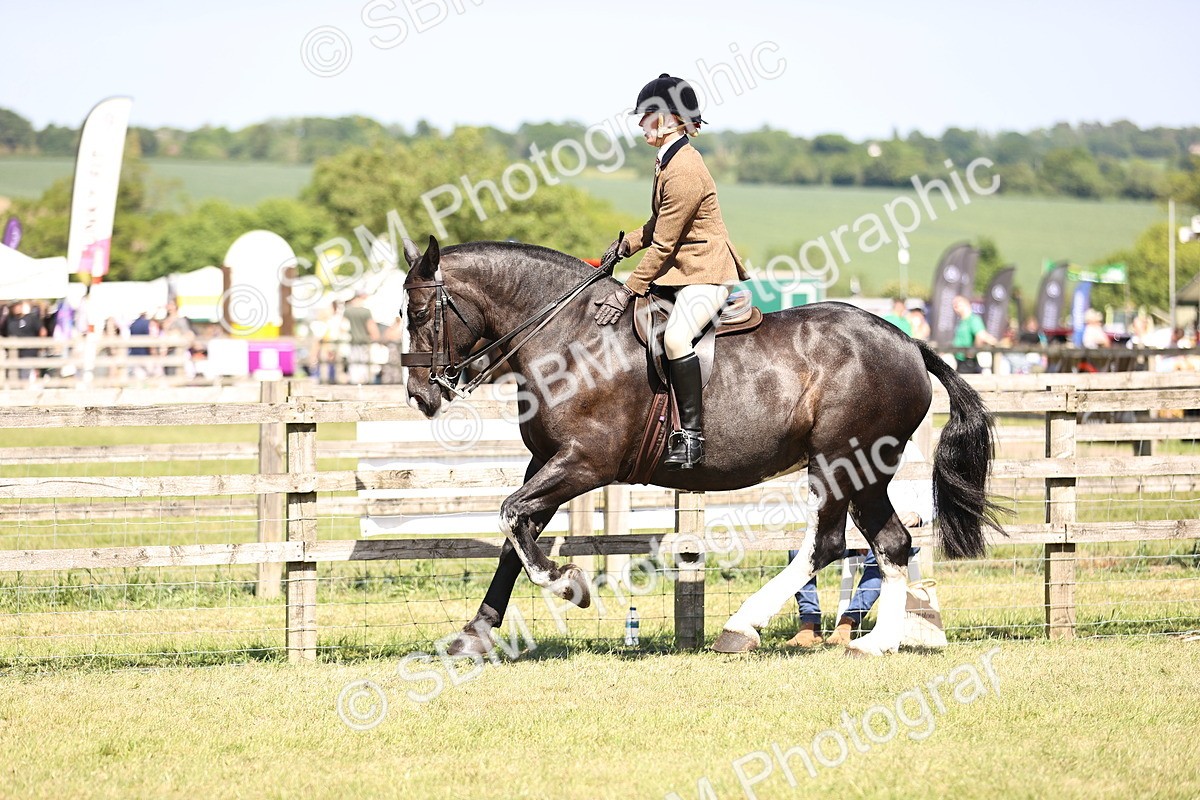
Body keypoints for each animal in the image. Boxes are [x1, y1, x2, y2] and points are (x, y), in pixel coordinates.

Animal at [400, 236, 1002, 657]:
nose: (419, 395)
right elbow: (514, 535)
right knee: (892, 542)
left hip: (840, 460)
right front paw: (475, 634)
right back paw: (877, 643)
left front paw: (569, 584)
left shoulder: (585, 463)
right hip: (866, 472)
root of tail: (908, 341)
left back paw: (742, 627)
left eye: (421, 313)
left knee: (828, 544)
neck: (568, 336)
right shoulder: (545, 461)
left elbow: (511, 516)